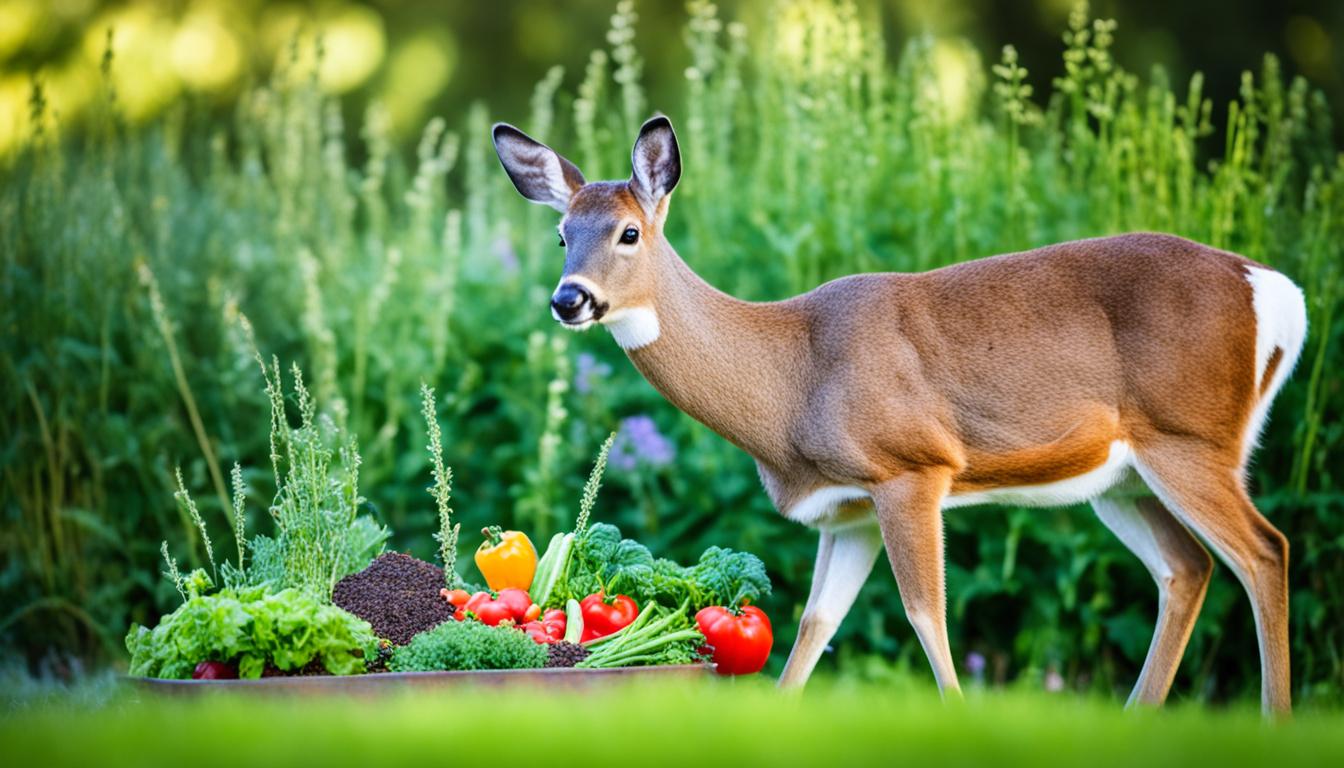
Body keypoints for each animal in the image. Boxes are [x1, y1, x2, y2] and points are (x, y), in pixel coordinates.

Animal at [491, 114, 1300, 715]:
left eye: (628, 233)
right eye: (561, 235)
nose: (569, 299)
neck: (793, 380)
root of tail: (1275, 292)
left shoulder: (913, 466)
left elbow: (925, 615)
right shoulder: (844, 511)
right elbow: (813, 630)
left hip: (1191, 436)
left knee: (1264, 550)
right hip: (1121, 477)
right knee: (1187, 567)